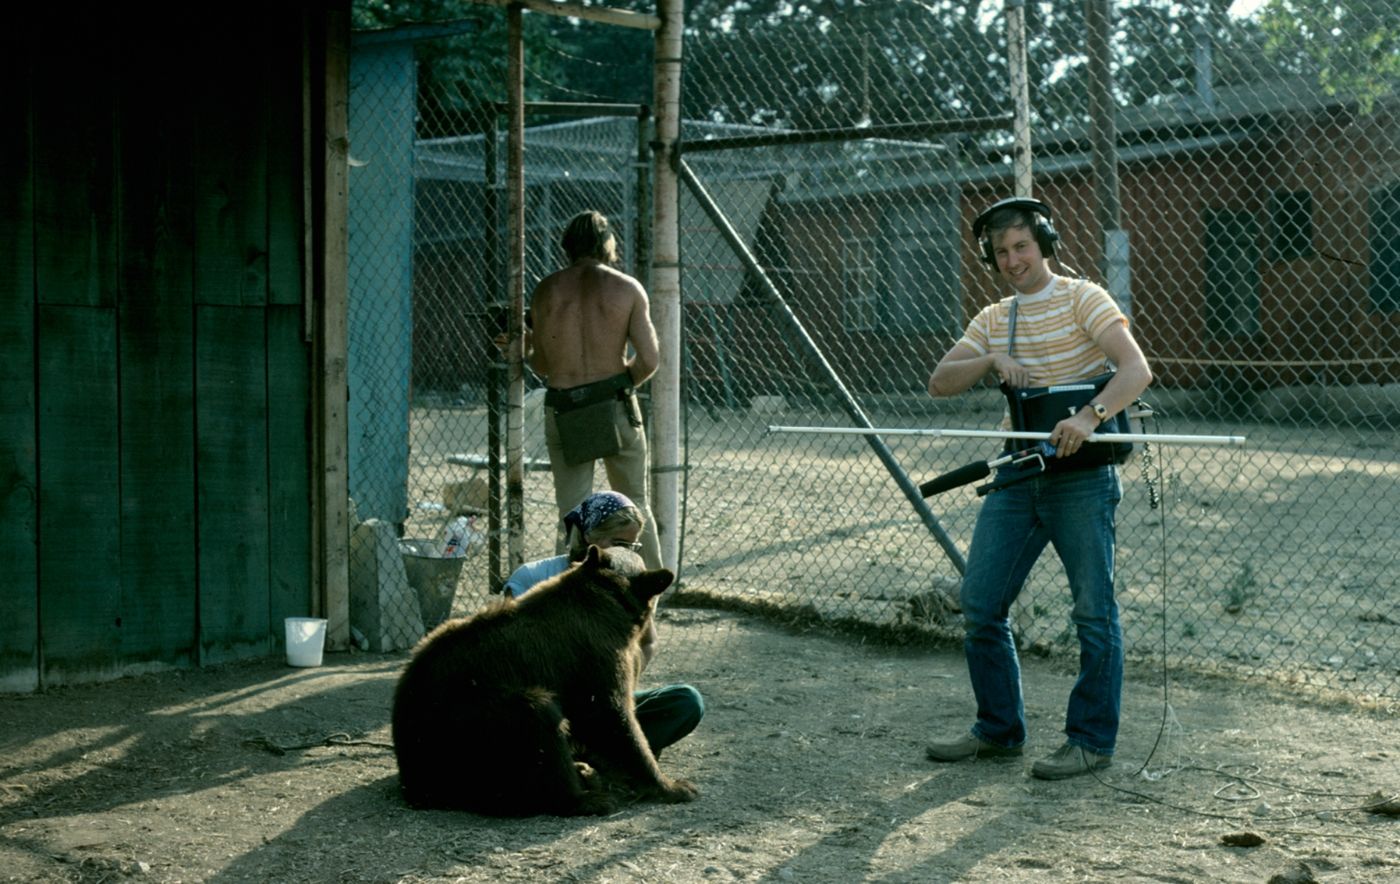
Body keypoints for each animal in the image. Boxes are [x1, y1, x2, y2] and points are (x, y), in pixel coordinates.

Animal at [390, 545, 699, 816]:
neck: (607, 601)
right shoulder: (595, 656)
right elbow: (610, 715)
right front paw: (674, 786)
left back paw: (584, 773)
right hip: (470, 717)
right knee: (538, 718)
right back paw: (585, 798)